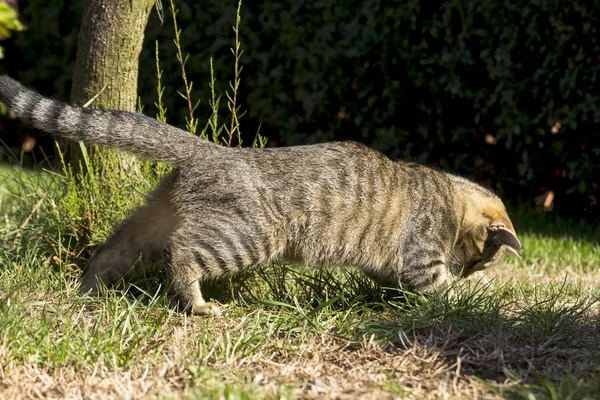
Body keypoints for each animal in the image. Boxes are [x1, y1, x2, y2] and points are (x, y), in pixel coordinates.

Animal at [0, 76, 520, 316]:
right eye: (481, 257)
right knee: (181, 253)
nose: (470, 269)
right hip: (246, 236)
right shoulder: (422, 261)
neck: (449, 195)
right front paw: (475, 297)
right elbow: (440, 288)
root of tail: (213, 151)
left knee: (109, 251)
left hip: (148, 223)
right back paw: (197, 305)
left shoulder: (395, 268)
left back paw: (87, 290)